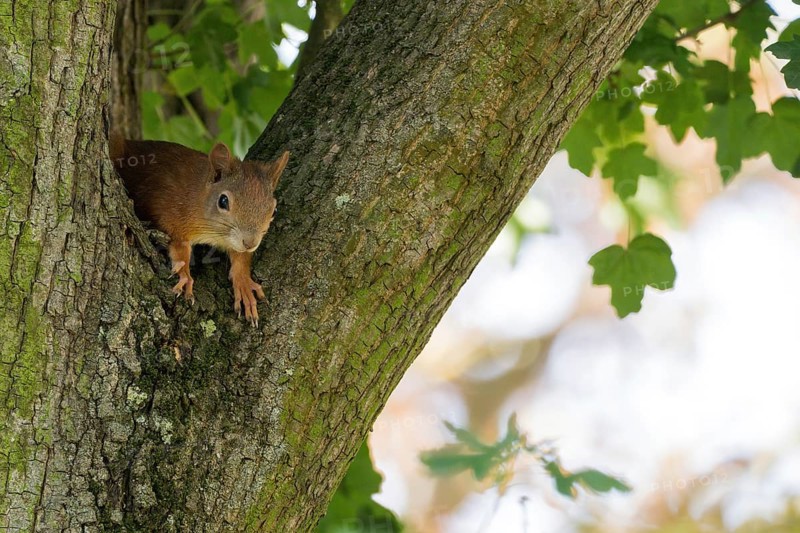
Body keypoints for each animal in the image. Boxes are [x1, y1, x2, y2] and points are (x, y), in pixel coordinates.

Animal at [109, 132, 289, 326]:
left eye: (274, 210)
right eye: (223, 201)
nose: (250, 243)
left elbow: (240, 257)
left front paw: (244, 283)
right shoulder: (171, 214)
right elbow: (179, 247)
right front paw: (185, 274)